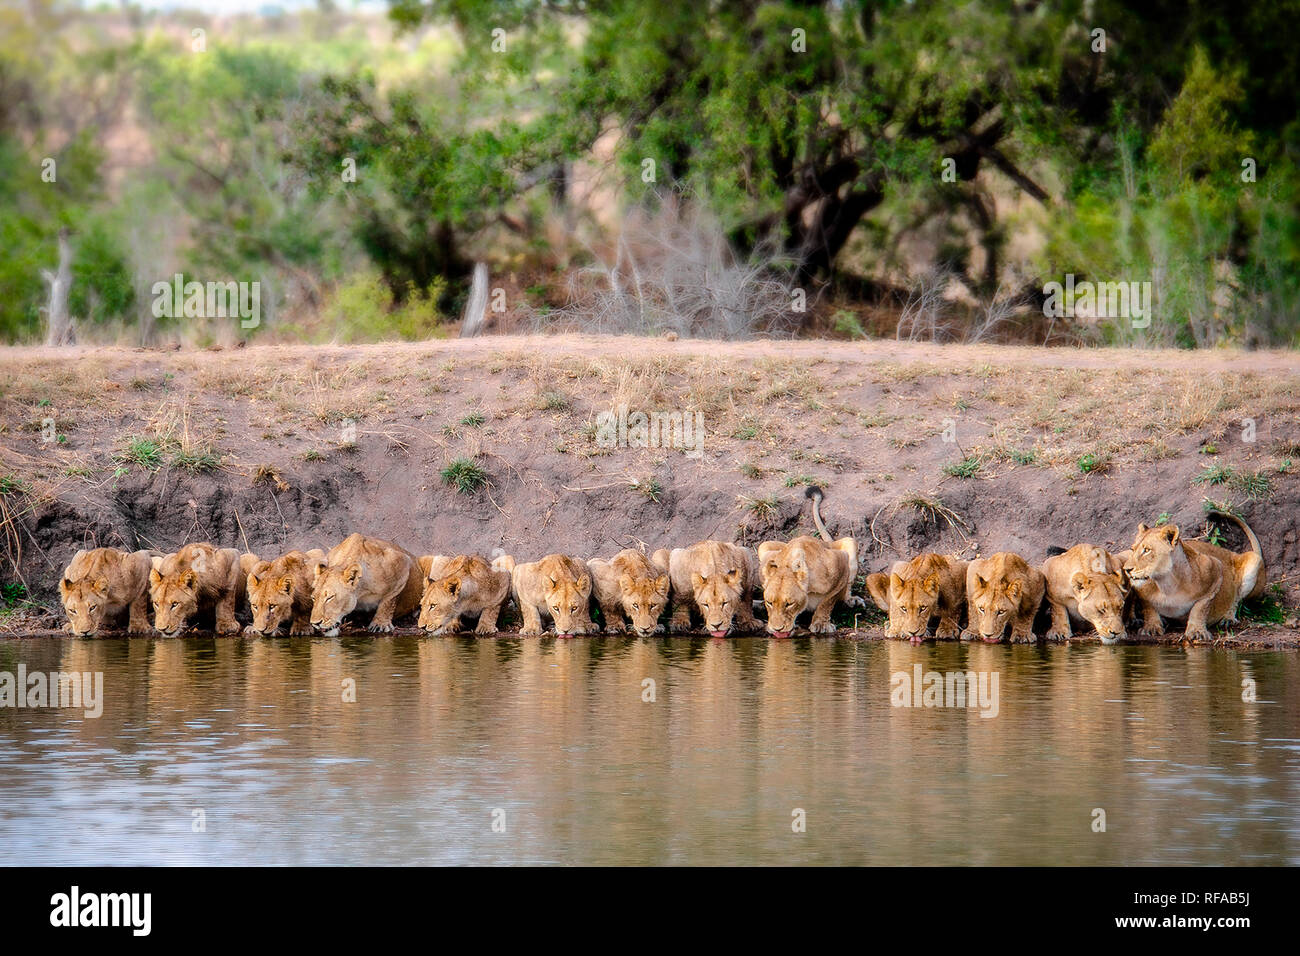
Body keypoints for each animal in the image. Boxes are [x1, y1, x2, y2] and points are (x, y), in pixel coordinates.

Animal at [1123, 512, 1265, 642]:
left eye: (1147, 550)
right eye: (1132, 549)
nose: (1126, 569)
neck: (1167, 585)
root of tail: (1232, 552)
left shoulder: (1214, 568)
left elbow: (1200, 607)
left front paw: (1197, 631)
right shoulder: (1141, 591)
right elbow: (1148, 606)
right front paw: (1151, 627)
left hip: (1254, 559)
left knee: (1237, 599)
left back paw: (1228, 619)